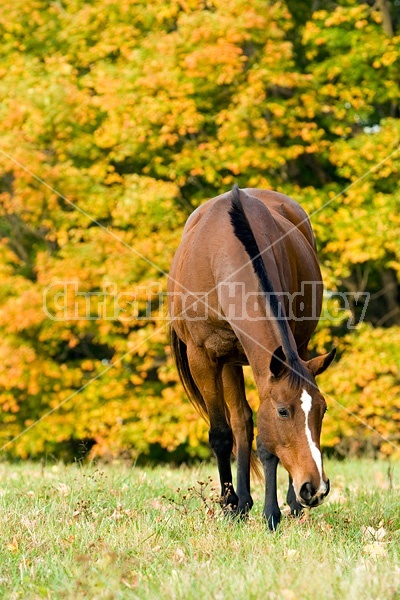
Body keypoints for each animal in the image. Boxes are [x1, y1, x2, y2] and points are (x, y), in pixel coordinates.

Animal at [167, 185, 336, 528]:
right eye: (283, 412)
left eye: (322, 411)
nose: (315, 488)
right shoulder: (203, 358)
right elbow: (222, 433)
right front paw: (230, 503)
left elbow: (266, 443)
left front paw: (274, 511)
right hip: (229, 360)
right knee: (240, 421)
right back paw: (240, 502)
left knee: (245, 421)